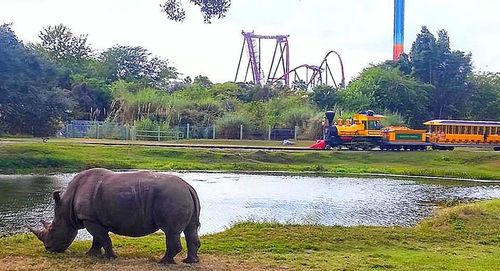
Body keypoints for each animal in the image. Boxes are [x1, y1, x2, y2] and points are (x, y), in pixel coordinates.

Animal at [28, 169, 200, 264]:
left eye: (53, 229)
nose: (48, 249)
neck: (67, 206)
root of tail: (188, 186)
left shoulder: (89, 219)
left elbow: (103, 239)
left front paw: (111, 258)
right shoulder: (93, 219)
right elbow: (97, 239)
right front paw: (91, 255)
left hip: (172, 196)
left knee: (171, 232)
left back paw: (164, 262)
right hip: (180, 195)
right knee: (190, 230)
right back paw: (190, 261)